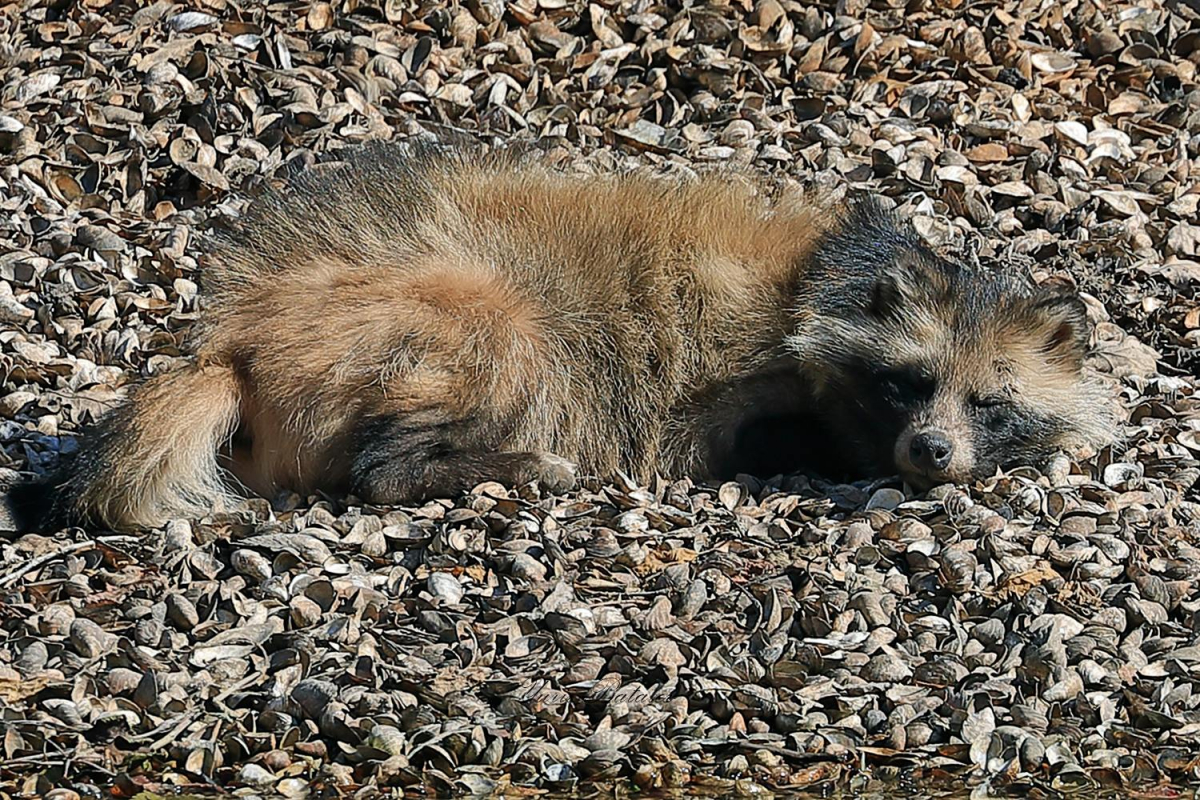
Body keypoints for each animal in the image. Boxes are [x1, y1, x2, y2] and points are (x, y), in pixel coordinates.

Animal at [7, 142, 1113, 532]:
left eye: (991, 400)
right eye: (908, 381)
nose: (931, 451)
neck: (838, 267)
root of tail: (232, 346)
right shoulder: (735, 380)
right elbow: (759, 428)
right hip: (442, 316)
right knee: (443, 399)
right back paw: (494, 462)